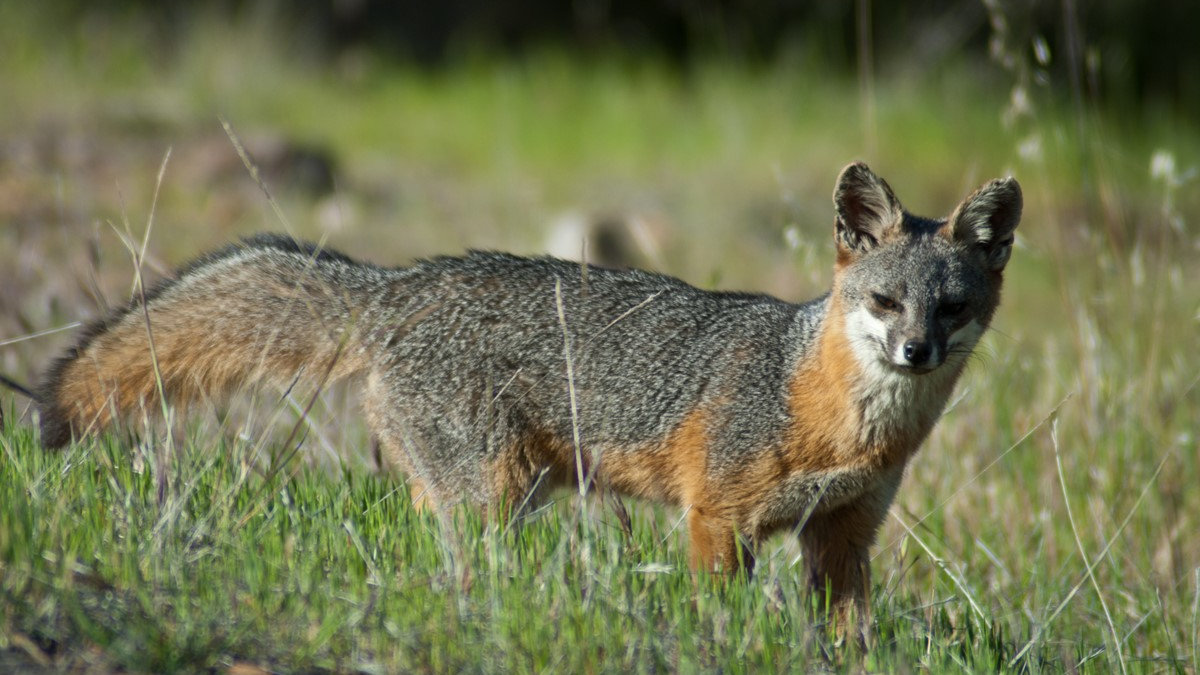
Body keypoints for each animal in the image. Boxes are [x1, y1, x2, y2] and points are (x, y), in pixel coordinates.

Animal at [30, 162, 1022, 634]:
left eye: (952, 307)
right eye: (886, 301)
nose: (916, 350)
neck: (839, 425)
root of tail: (403, 283)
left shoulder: (844, 536)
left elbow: (849, 639)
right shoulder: (716, 518)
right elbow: (719, 614)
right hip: (493, 498)